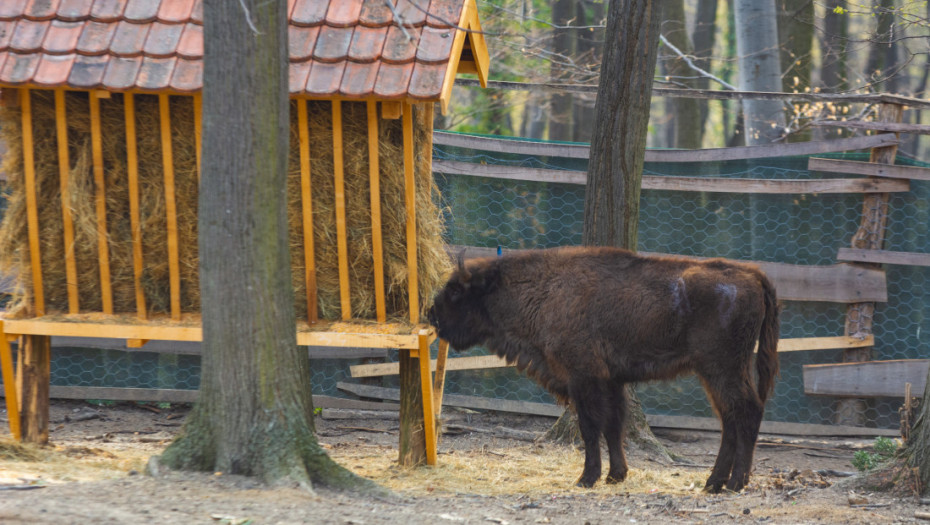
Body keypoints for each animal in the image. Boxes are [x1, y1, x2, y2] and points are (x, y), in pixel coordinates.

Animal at [428, 246, 776, 492]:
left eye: (456, 291)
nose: (432, 315)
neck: (545, 288)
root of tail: (752, 274)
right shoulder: (612, 380)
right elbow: (613, 426)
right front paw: (616, 476)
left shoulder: (583, 377)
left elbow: (590, 427)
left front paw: (587, 478)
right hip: (718, 372)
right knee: (730, 418)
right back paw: (714, 483)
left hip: (721, 369)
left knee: (747, 411)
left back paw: (735, 483)